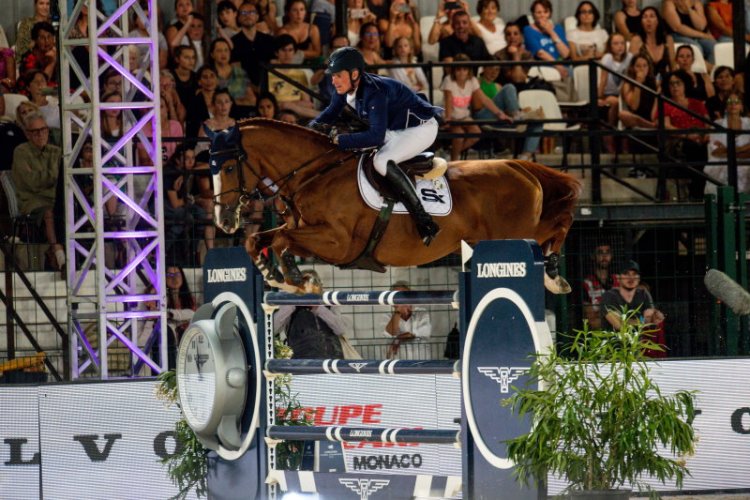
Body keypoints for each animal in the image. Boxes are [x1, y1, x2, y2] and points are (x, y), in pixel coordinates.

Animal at [206, 118, 582, 294]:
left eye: (228, 168)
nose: (223, 221)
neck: (315, 172)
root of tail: (519, 167)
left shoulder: (337, 242)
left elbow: (283, 241)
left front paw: (297, 278)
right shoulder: (304, 231)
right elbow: (258, 239)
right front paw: (275, 275)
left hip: (516, 232)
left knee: (559, 225)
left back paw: (553, 275)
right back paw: (553, 275)